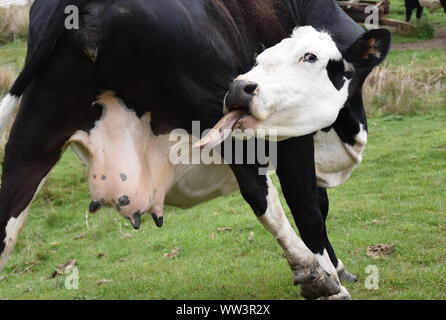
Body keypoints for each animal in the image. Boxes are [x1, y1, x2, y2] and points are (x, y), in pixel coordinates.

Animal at [0, 0, 390, 300]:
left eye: (309, 57)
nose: (242, 86)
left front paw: (338, 267)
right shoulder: (293, 131)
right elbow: (309, 206)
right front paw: (331, 272)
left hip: (35, 134)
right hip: (221, 111)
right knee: (260, 194)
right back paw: (317, 276)